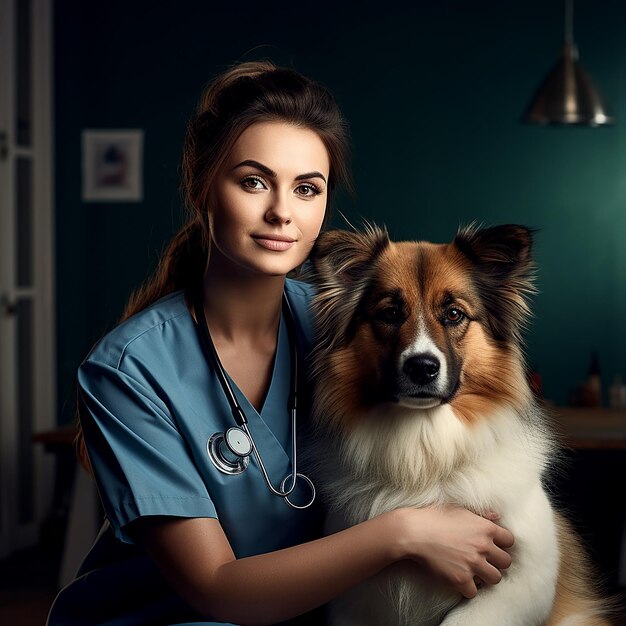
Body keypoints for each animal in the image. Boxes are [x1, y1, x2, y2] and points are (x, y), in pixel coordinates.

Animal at [302, 223, 616, 624]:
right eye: (390, 313)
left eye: (453, 314)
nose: (422, 367)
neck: (425, 451)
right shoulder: (357, 602)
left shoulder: (525, 578)